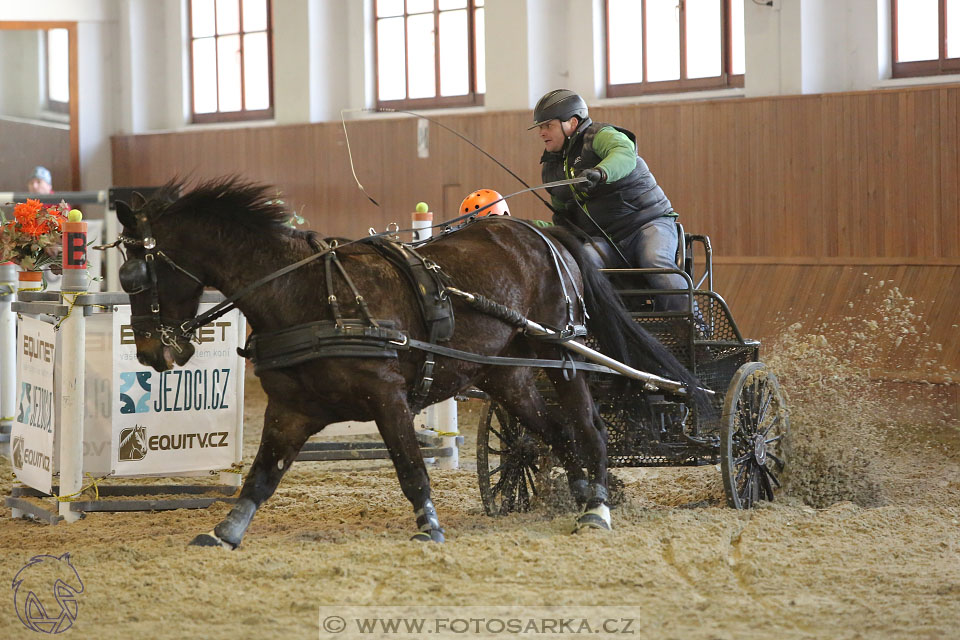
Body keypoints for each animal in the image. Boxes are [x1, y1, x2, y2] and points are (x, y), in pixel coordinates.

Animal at [114, 178, 704, 548]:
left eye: (135, 277)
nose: (150, 353)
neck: (305, 295)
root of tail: (542, 233)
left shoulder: (387, 397)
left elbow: (411, 468)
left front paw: (429, 527)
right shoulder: (290, 409)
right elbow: (261, 478)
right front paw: (226, 532)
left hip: (562, 355)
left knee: (588, 429)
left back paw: (597, 508)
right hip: (507, 374)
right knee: (550, 433)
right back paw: (577, 496)